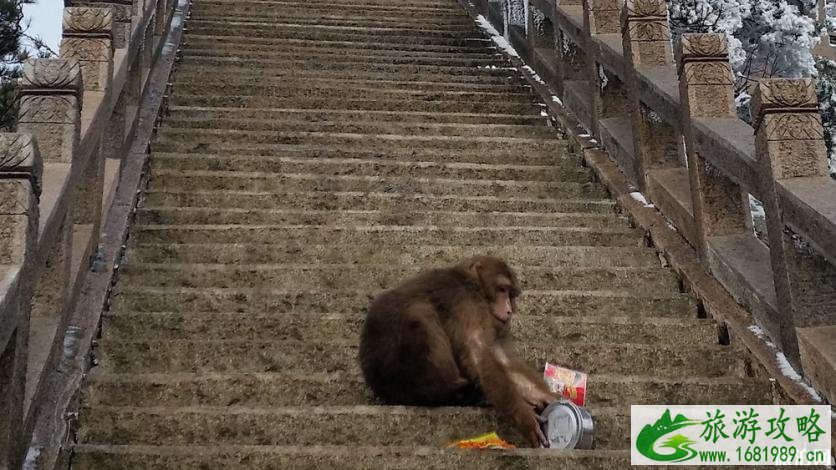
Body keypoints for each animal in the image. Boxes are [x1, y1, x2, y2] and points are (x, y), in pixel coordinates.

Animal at [358, 255, 560, 446]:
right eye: (502, 289)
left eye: (511, 294)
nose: (509, 309)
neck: (473, 284)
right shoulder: (465, 300)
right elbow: (478, 352)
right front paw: (524, 417)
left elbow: (495, 356)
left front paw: (544, 396)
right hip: (400, 378)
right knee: (420, 313)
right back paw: (457, 393)